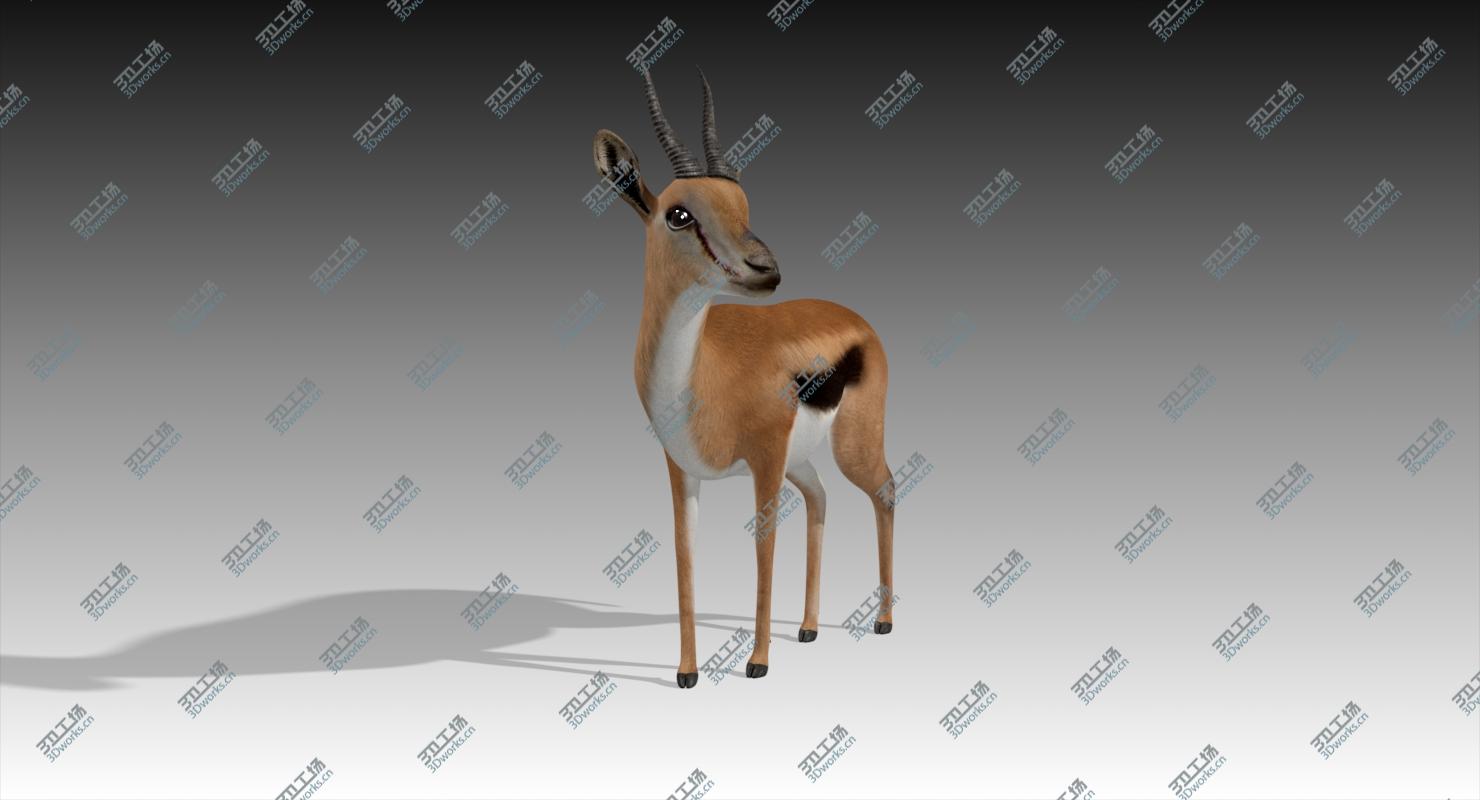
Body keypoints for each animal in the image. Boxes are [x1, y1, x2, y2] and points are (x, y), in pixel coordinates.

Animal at [591, 68, 896, 687]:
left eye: (742, 203)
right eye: (679, 213)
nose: (766, 269)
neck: (698, 377)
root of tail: (857, 318)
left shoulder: (764, 464)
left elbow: (763, 551)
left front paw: (756, 662)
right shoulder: (682, 470)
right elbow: (685, 556)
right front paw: (686, 672)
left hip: (850, 446)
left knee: (886, 490)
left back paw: (882, 622)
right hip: (802, 461)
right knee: (822, 498)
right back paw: (807, 628)